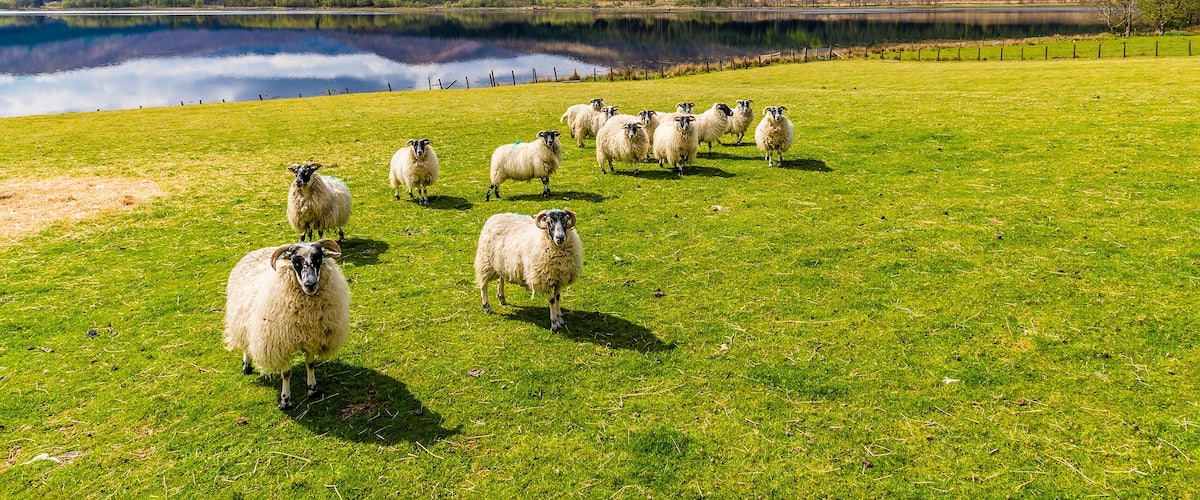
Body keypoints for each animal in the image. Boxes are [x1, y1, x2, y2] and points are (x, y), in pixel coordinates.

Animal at [224, 239, 350, 410]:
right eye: (295, 261)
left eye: (318, 257)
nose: (310, 284)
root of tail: (260, 250)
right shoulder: (279, 344)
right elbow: (286, 373)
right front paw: (285, 400)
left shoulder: (312, 338)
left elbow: (310, 364)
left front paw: (312, 389)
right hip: (241, 321)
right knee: (245, 345)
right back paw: (246, 366)